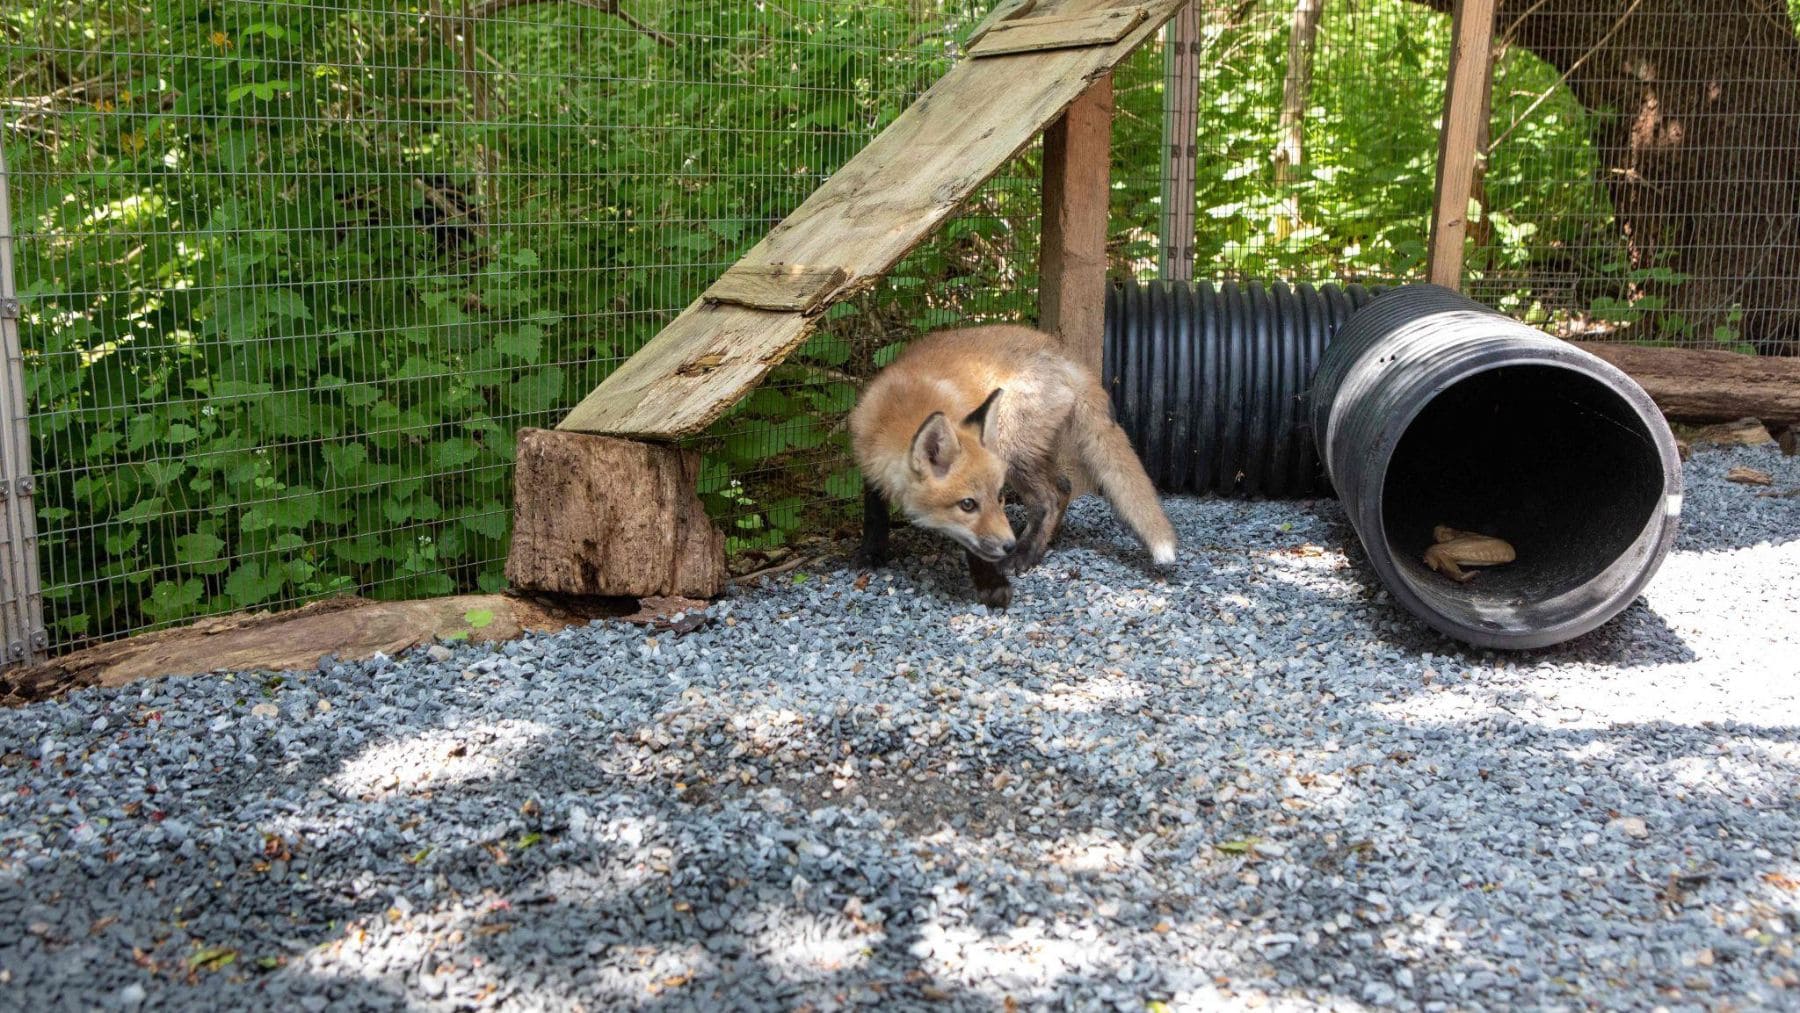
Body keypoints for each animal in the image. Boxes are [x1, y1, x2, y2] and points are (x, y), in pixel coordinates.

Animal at [847, 323, 1178, 607]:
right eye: (967, 504)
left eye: (1000, 498)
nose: (1007, 545)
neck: (896, 411)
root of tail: (1065, 356)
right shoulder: (868, 462)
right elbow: (875, 514)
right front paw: (871, 555)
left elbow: (977, 547)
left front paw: (992, 585)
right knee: (1064, 486)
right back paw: (1043, 541)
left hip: (1011, 448)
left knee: (1052, 496)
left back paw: (1027, 553)